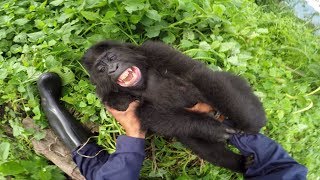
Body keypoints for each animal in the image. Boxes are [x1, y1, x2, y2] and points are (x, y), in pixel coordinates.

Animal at [81, 40, 266, 172]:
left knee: (230, 80)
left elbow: (197, 73)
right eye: (101, 69)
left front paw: (248, 124)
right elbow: (149, 115)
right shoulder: (113, 99)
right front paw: (212, 128)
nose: (113, 69)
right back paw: (240, 164)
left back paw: (256, 116)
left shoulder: (155, 50)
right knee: (194, 139)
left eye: (111, 57)